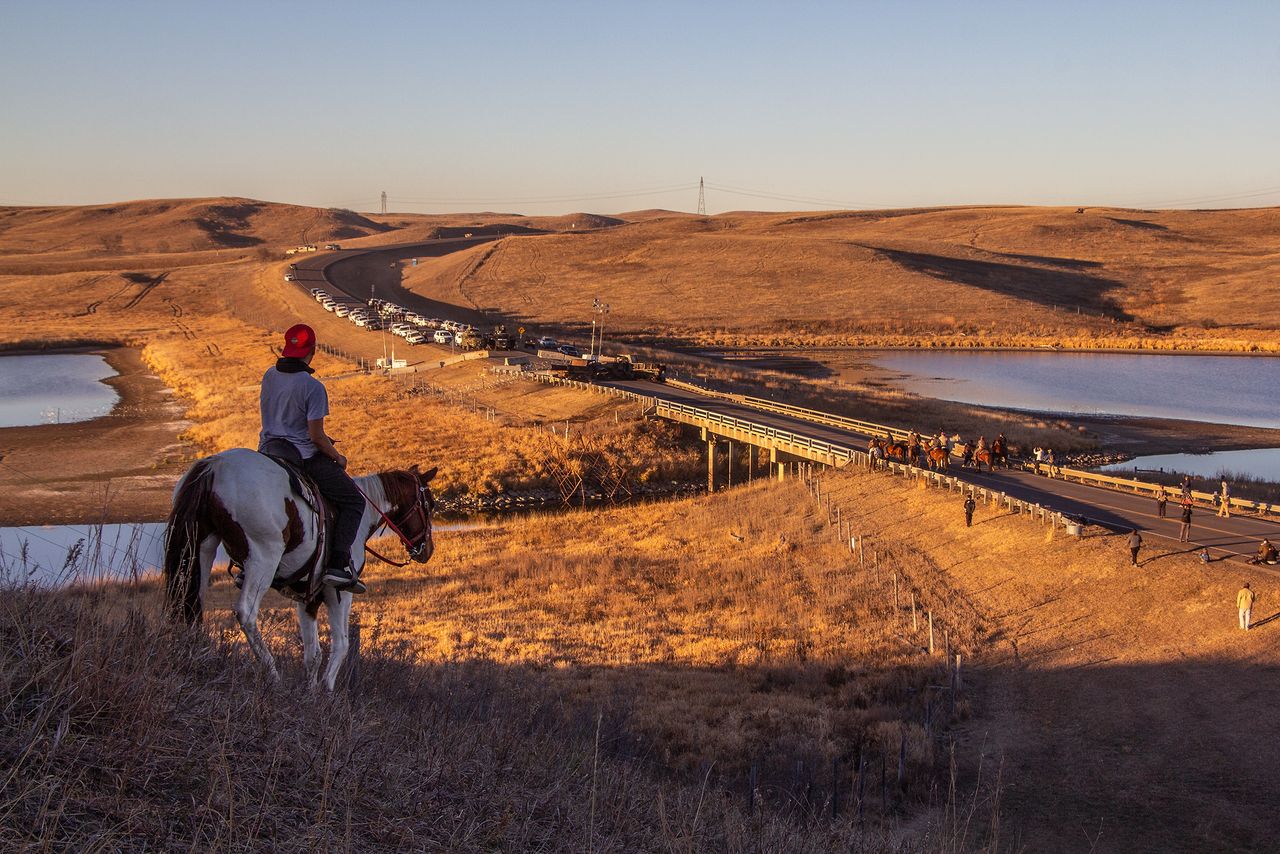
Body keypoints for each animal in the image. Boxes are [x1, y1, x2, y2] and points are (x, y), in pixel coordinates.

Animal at [163, 450, 440, 691]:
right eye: (430, 504)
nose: (427, 550)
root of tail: (214, 465)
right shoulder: (339, 592)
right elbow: (341, 644)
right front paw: (327, 690)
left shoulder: (306, 598)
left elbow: (313, 654)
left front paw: (311, 691)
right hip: (263, 557)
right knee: (246, 613)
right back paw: (272, 675)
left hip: (201, 548)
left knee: (190, 605)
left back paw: (197, 659)